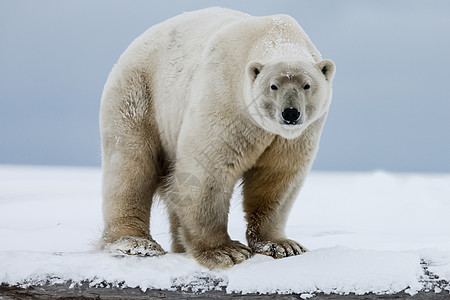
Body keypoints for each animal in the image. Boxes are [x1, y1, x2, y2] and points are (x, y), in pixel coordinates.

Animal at [100, 7, 336, 270]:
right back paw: (135, 243)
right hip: (139, 95)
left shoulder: (294, 136)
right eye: (273, 86)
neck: (276, 34)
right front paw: (225, 251)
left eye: (307, 85)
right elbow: (208, 171)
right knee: (131, 167)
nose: (291, 113)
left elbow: (277, 177)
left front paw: (283, 245)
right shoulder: (226, 100)